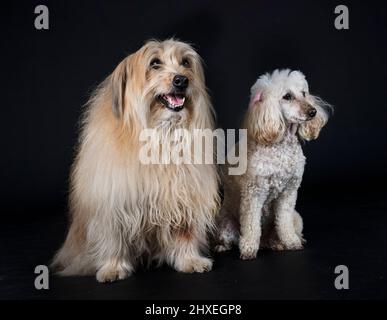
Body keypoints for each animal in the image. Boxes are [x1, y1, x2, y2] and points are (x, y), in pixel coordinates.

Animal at [51, 38, 220, 282]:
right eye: (155, 63)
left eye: (185, 62)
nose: (181, 80)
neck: (159, 135)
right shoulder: (112, 204)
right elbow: (113, 239)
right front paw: (113, 267)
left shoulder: (184, 197)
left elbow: (184, 233)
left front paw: (189, 260)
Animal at [217, 70, 332, 260]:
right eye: (287, 96)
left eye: (304, 93)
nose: (313, 112)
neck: (281, 146)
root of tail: (265, 242)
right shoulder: (253, 194)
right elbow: (251, 225)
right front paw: (248, 249)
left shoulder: (289, 193)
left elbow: (284, 221)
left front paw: (291, 242)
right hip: (224, 223)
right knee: (230, 238)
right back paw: (223, 246)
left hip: (297, 218)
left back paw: (280, 243)